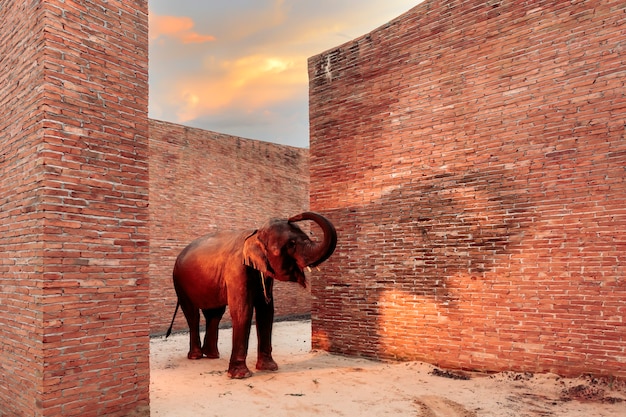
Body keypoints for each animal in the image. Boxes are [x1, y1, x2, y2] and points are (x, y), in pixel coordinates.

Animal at [163, 211, 334, 376]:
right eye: (291, 244)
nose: (293, 217)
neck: (256, 234)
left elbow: (266, 311)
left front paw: (269, 368)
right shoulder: (236, 269)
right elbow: (243, 311)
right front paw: (241, 375)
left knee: (215, 314)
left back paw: (212, 355)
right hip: (179, 283)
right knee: (193, 315)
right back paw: (196, 356)